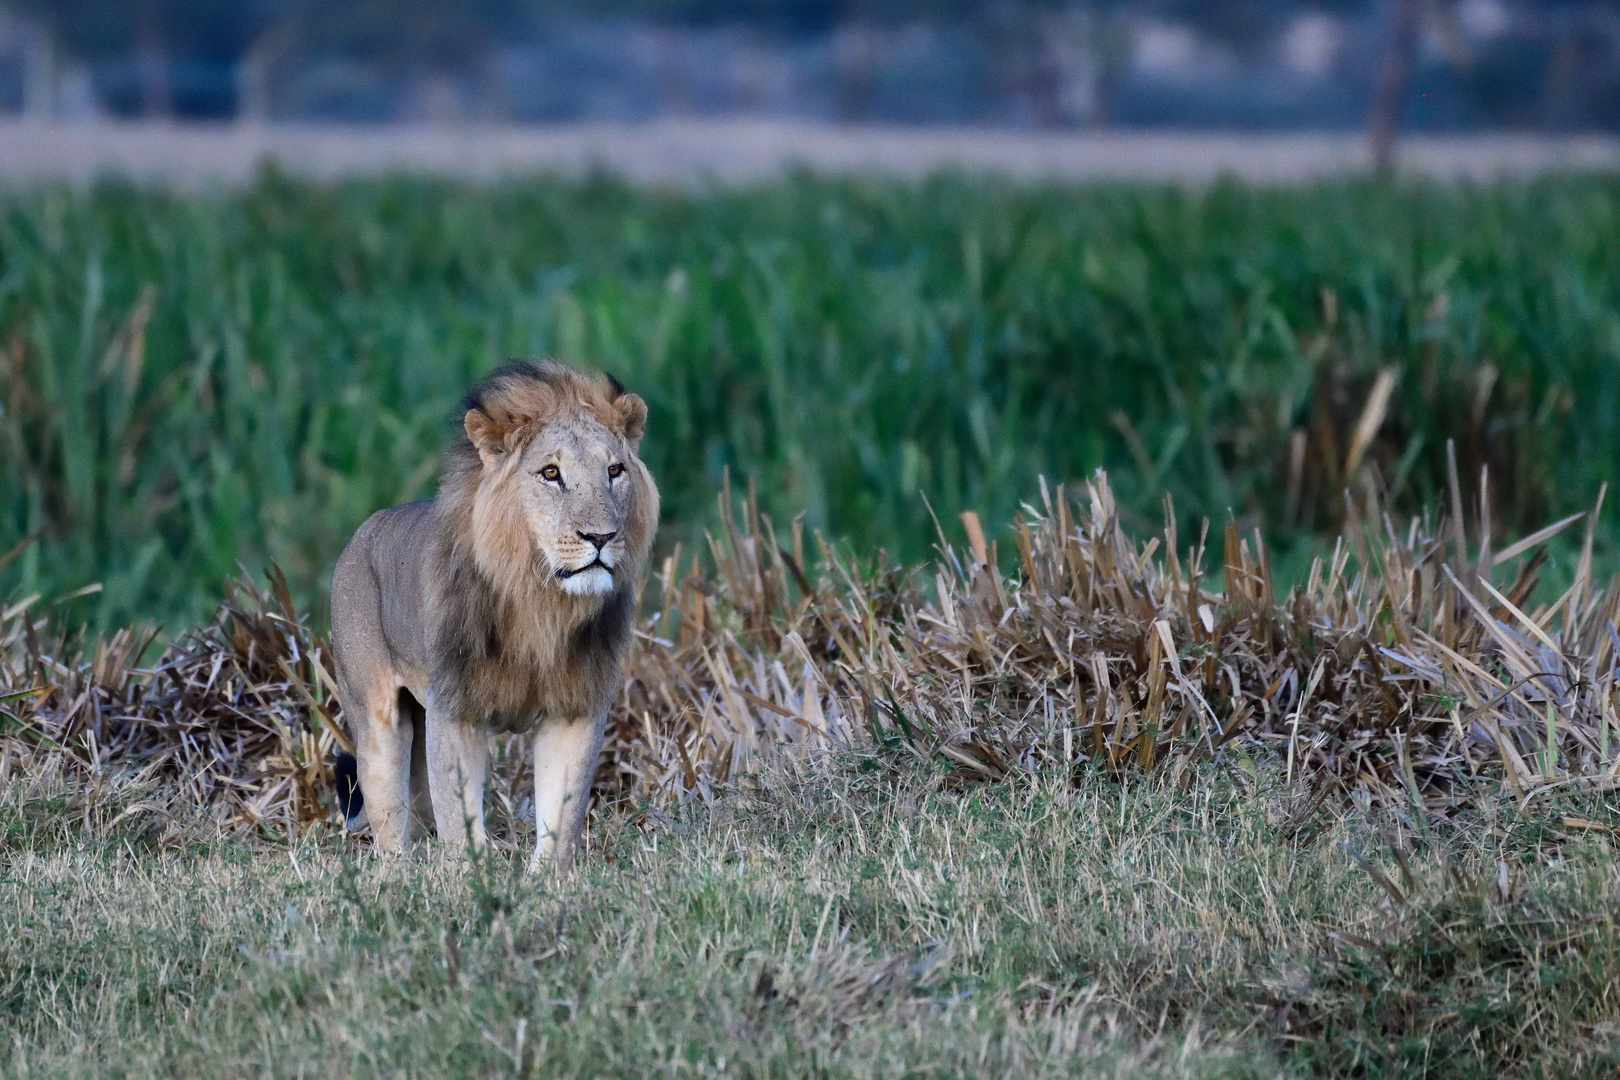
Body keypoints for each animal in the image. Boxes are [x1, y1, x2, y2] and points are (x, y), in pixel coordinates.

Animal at [328, 361, 657, 867]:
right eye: (551, 473)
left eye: (615, 471)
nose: (600, 537)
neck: (542, 601)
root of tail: (359, 534)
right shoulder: (454, 707)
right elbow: (458, 815)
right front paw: (470, 875)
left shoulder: (575, 708)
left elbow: (561, 813)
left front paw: (546, 878)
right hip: (375, 716)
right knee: (388, 816)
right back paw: (399, 872)